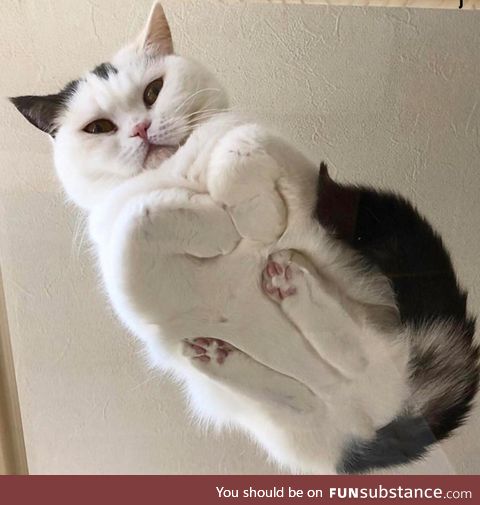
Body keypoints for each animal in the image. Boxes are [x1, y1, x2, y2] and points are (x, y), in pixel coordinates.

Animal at [9, 2, 478, 472]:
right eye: (99, 127)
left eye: (153, 91)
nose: (141, 128)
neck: (177, 173)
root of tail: (382, 418)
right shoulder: (124, 272)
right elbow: (139, 216)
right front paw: (216, 224)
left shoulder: (281, 154)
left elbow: (238, 147)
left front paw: (252, 218)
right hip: (260, 407)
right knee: (305, 389)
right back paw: (221, 354)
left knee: (351, 358)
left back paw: (289, 285)